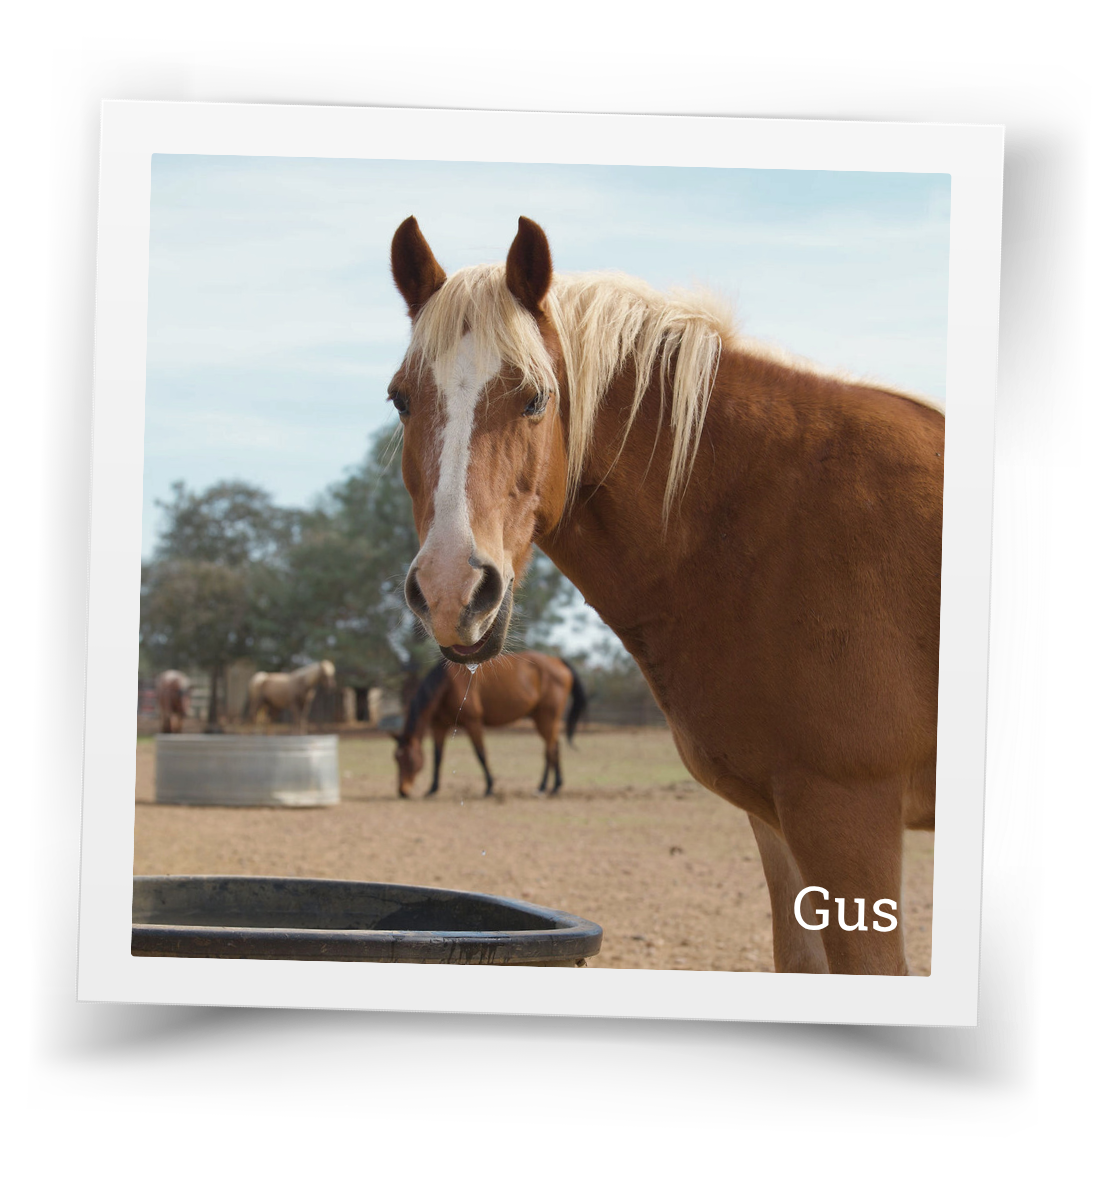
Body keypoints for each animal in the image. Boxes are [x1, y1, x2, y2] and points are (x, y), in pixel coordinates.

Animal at [393, 652, 586, 798]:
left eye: (410, 760)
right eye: (396, 759)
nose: (403, 791)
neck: (448, 684)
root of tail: (558, 661)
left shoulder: (473, 723)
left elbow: (481, 754)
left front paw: (489, 787)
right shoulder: (439, 726)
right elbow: (437, 757)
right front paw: (432, 789)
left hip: (547, 718)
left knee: (550, 750)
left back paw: (545, 787)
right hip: (544, 719)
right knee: (553, 748)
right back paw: (552, 786)